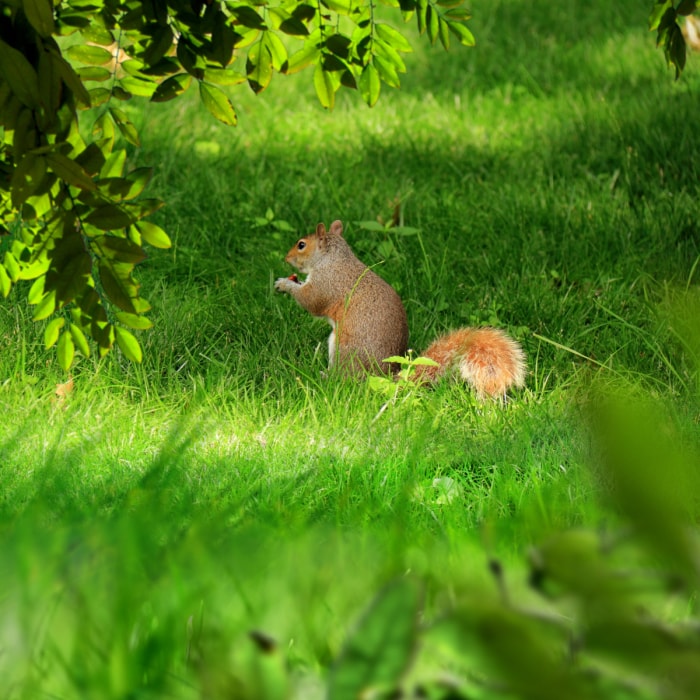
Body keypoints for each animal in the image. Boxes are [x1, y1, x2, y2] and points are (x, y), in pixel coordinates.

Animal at [274, 221, 524, 396]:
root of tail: (383, 377)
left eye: (301, 245)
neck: (333, 259)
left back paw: (326, 376)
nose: (285, 258)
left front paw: (284, 284)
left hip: (341, 348)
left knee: (345, 378)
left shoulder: (327, 284)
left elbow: (311, 301)